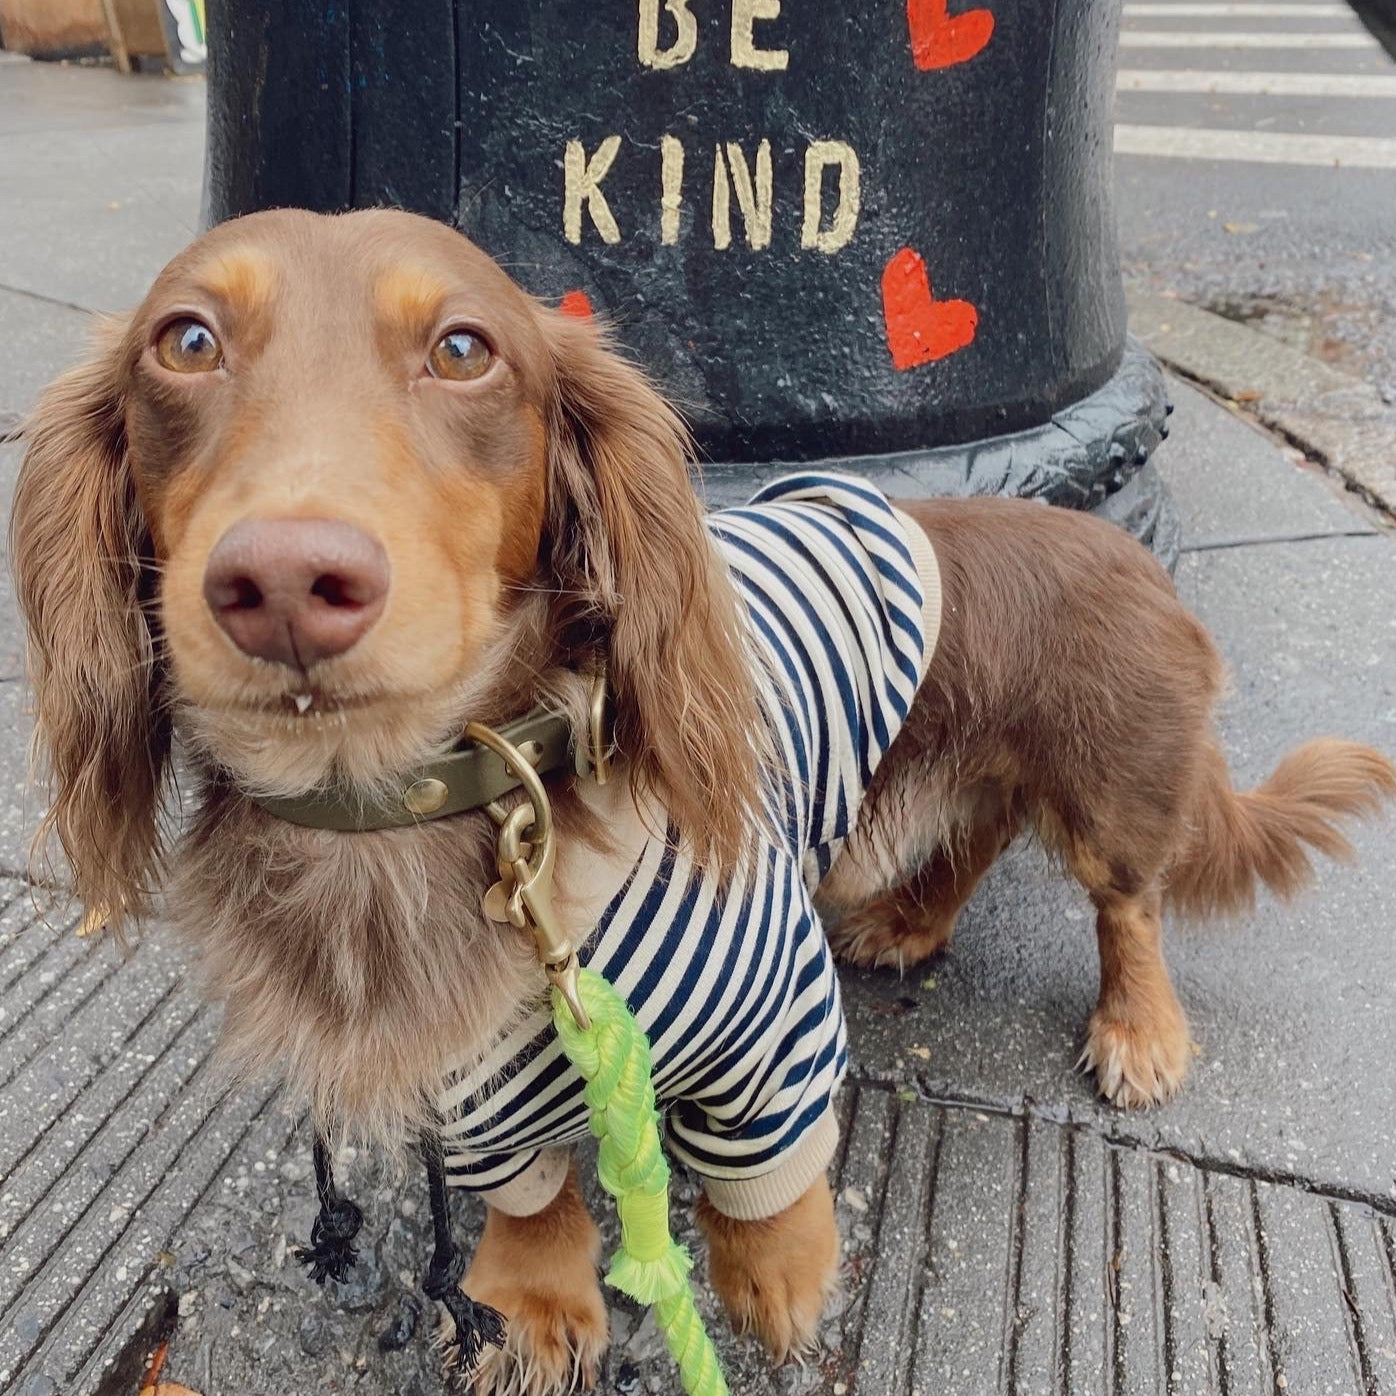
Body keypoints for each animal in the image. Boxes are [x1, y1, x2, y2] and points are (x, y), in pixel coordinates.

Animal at [13, 203, 1396, 1384]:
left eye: (464, 349)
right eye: (185, 342)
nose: (287, 582)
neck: (431, 807)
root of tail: (1129, 547)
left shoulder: (771, 1017)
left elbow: (767, 1177)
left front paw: (776, 1278)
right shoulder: (470, 1090)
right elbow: (531, 1195)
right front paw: (537, 1299)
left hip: (1111, 782)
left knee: (1127, 904)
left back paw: (1140, 1028)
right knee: (976, 836)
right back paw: (912, 921)